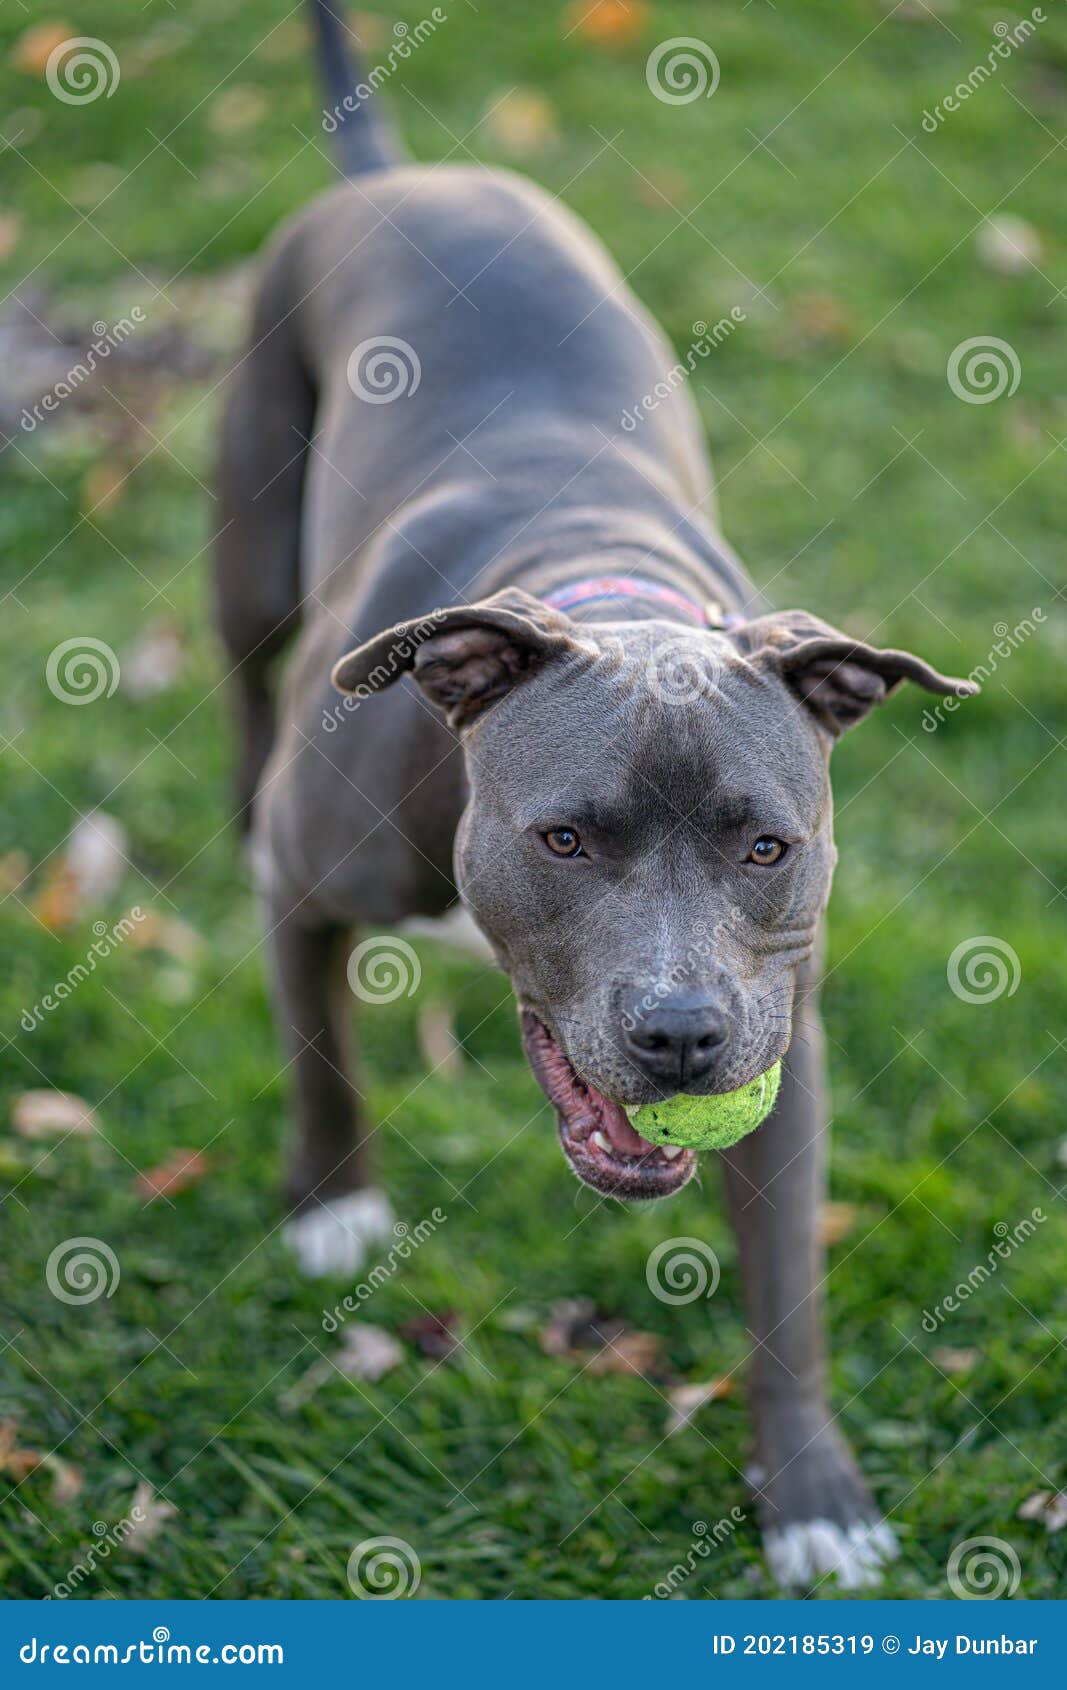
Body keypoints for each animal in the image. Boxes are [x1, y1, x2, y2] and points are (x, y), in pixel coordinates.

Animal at [214, 0, 973, 1581]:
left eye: (768, 846)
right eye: (562, 838)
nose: (681, 1035)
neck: (601, 591)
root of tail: (407, 170)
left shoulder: (786, 1036)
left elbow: (784, 1291)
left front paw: (812, 1497)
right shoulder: (305, 892)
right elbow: (319, 1050)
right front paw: (333, 1209)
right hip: (247, 527)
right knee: (243, 682)